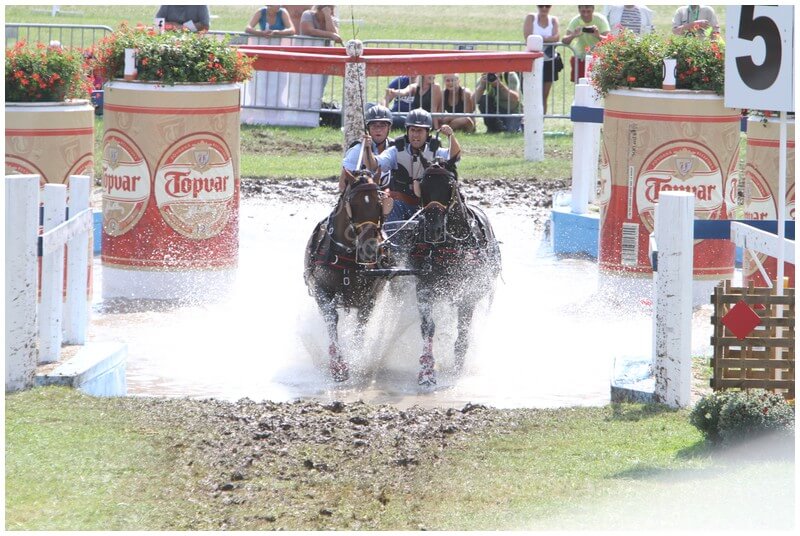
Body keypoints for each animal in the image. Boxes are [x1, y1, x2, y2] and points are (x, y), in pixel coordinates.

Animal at [304, 170, 388, 382]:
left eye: (379, 203)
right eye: (353, 204)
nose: (370, 248)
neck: (347, 255)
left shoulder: (370, 297)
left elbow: (361, 325)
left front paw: (355, 357)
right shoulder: (320, 288)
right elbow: (331, 317)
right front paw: (338, 365)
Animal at [408, 159, 502, 386]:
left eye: (449, 186)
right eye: (422, 185)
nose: (433, 229)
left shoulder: (468, 293)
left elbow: (464, 331)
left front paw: (458, 366)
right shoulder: (423, 287)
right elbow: (428, 327)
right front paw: (426, 371)